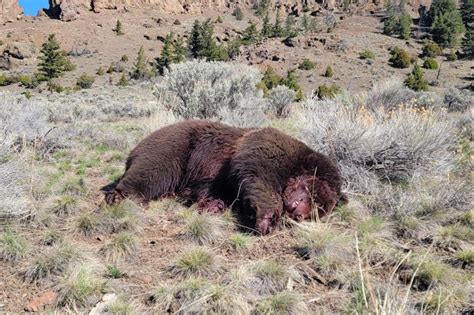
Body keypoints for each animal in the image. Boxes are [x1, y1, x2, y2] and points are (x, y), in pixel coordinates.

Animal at [103, 119, 346, 236]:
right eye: (310, 193)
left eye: (319, 210)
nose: (298, 212)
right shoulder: (264, 149)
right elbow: (257, 177)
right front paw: (266, 219)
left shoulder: (219, 181)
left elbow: (220, 191)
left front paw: (213, 205)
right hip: (177, 147)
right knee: (153, 169)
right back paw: (121, 196)